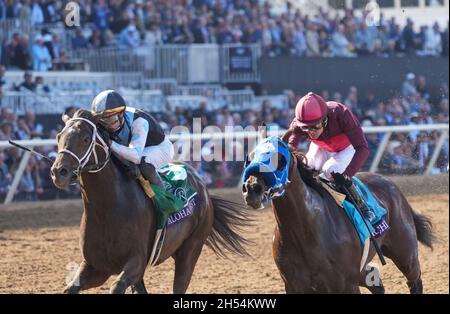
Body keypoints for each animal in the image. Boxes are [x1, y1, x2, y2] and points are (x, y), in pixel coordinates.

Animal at [51, 109, 251, 294]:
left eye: (85, 139)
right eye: (59, 136)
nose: (59, 172)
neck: (106, 210)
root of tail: (203, 188)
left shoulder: (136, 262)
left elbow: (116, 287)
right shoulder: (96, 266)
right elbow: (70, 288)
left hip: (190, 251)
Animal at [243, 131, 436, 294]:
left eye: (280, 158)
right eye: (250, 157)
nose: (252, 189)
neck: (304, 231)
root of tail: (390, 183)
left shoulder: (344, 283)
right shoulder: (294, 284)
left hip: (405, 252)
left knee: (415, 280)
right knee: (377, 285)